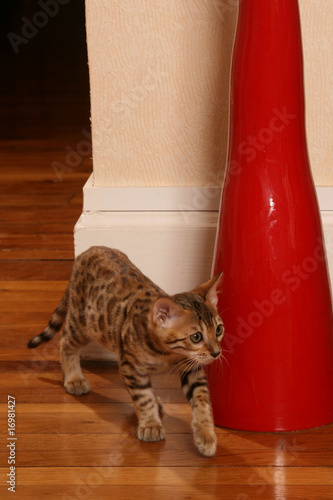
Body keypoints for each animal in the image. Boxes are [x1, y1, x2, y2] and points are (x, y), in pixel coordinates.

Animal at [27, 246, 222, 458]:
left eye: (218, 330)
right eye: (196, 337)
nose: (216, 353)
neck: (167, 353)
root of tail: (88, 251)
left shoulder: (191, 368)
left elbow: (201, 399)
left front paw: (206, 435)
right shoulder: (130, 365)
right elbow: (143, 398)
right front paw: (150, 424)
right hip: (84, 324)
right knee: (65, 341)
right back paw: (74, 378)